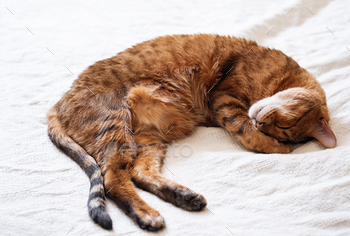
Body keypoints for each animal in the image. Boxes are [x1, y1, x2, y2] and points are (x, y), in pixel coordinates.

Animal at [47, 34, 336, 231]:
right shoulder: (225, 98)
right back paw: (148, 214)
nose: (262, 124)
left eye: (283, 129)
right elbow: (247, 132)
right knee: (112, 180)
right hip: (115, 125)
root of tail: (57, 103)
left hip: (146, 140)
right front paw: (276, 146)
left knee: (139, 173)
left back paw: (184, 197)